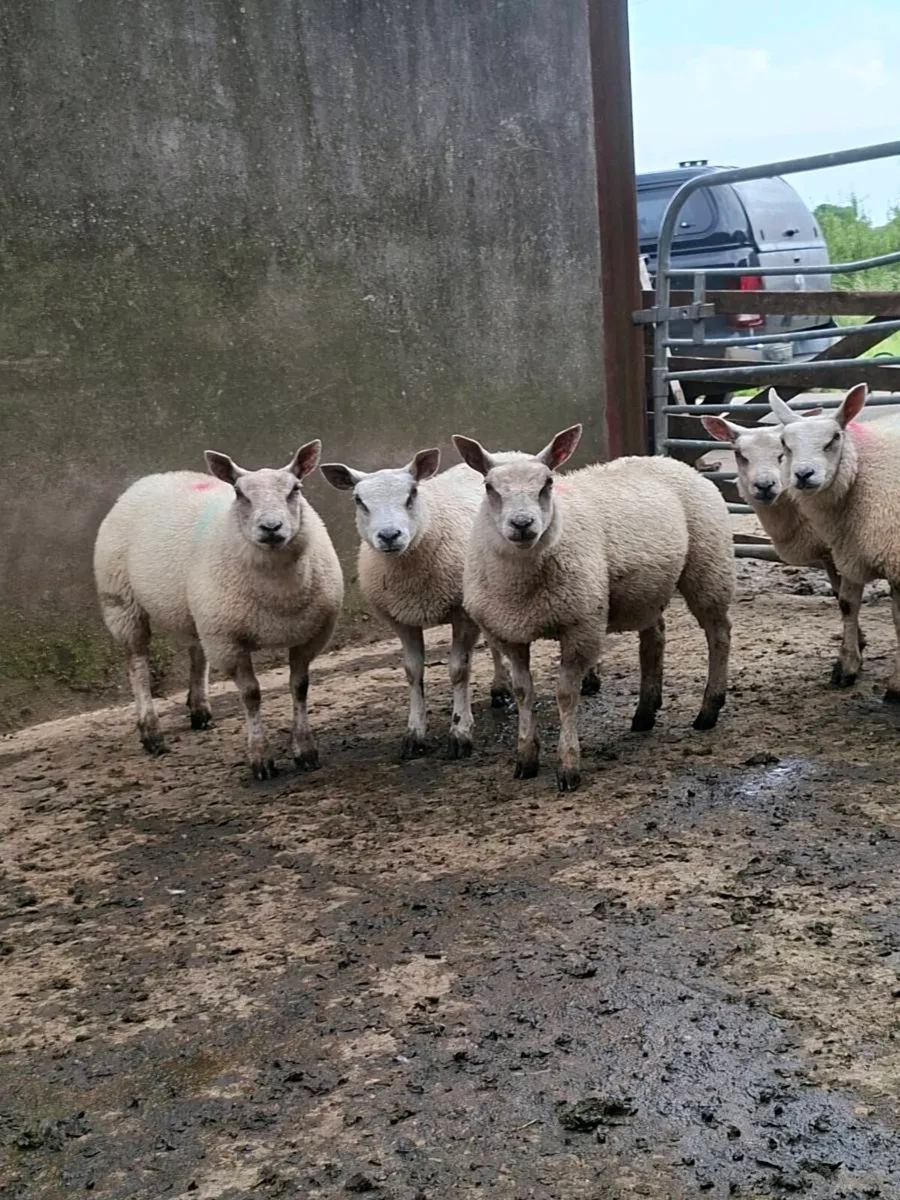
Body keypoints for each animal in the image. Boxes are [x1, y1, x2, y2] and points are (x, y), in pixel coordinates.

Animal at [93, 442, 344, 779]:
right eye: (239, 493)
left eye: (296, 489)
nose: (271, 528)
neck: (279, 594)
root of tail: (154, 477)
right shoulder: (229, 643)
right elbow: (251, 695)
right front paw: (260, 758)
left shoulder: (311, 635)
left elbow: (299, 687)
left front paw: (305, 750)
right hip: (121, 602)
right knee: (138, 665)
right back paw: (151, 732)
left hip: (199, 613)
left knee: (197, 654)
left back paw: (199, 710)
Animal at [321, 449, 600, 760]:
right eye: (359, 500)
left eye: (412, 493)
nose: (389, 536)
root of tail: (510, 454)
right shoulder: (402, 620)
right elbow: (412, 672)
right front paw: (414, 733)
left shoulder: (462, 615)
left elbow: (458, 670)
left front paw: (460, 732)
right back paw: (499, 688)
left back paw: (590, 678)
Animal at [452, 424, 735, 791]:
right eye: (489, 487)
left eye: (547, 483)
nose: (523, 524)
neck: (522, 586)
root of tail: (667, 460)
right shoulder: (509, 633)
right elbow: (523, 692)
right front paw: (525, 757)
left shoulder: (580, 626)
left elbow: (565, 695)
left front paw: (568, 765)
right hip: (648, 587)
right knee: (654, 639)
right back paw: (645, 712)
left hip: (709, 566)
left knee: (719, 634)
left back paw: (708, 709)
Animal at [700, 410, 868, 682]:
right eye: (740, 454)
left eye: (782, 452)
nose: (764, 486)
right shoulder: (827, 553)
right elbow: (839, 595)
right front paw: (859, 644)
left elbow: (849, 601)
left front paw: (848, 663)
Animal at [770, 382, 900, 698]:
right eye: (785, 443)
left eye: (834, 438)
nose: (803, 474)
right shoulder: (850, 548)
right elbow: (847, 604)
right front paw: (847, 668)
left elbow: (898, 618)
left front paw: (896, 684)